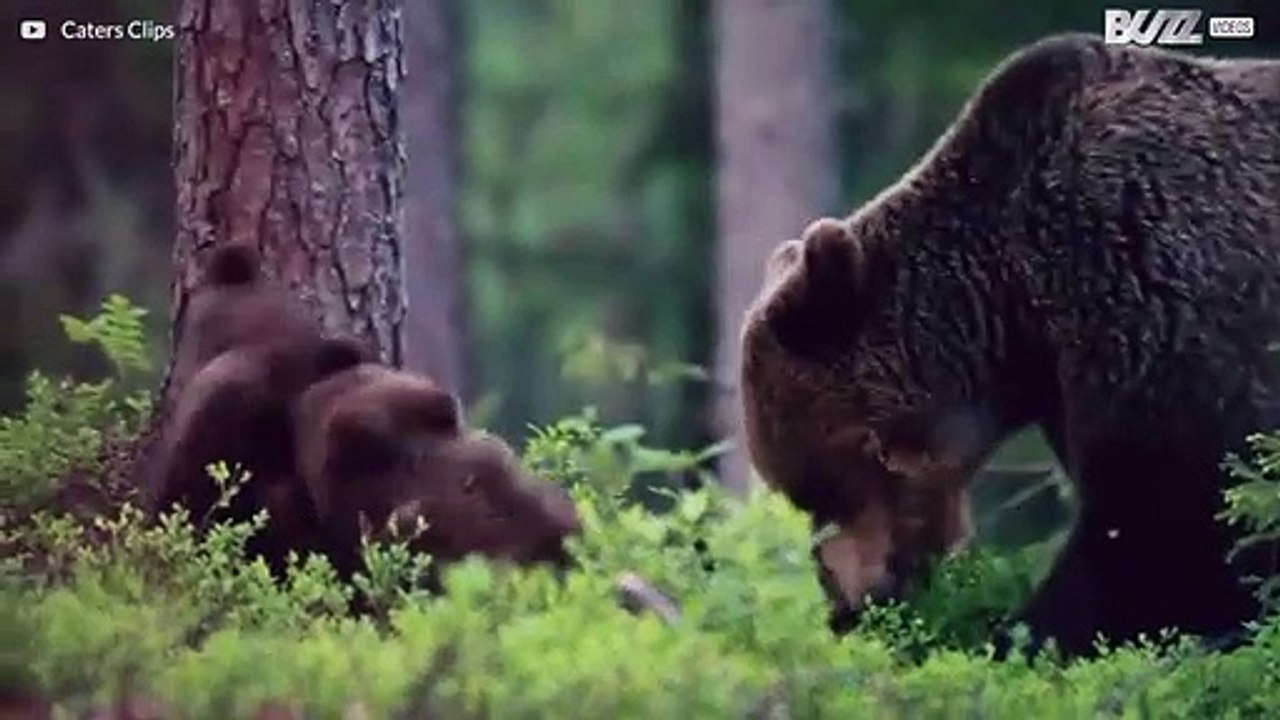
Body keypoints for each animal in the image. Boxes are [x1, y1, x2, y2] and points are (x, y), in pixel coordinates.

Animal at [739, 34, 1280, 658]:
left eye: (828, 481)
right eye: (801, 496)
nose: (853, 607)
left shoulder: (1159, 297)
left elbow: (1165, 517)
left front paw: (1021, 632)